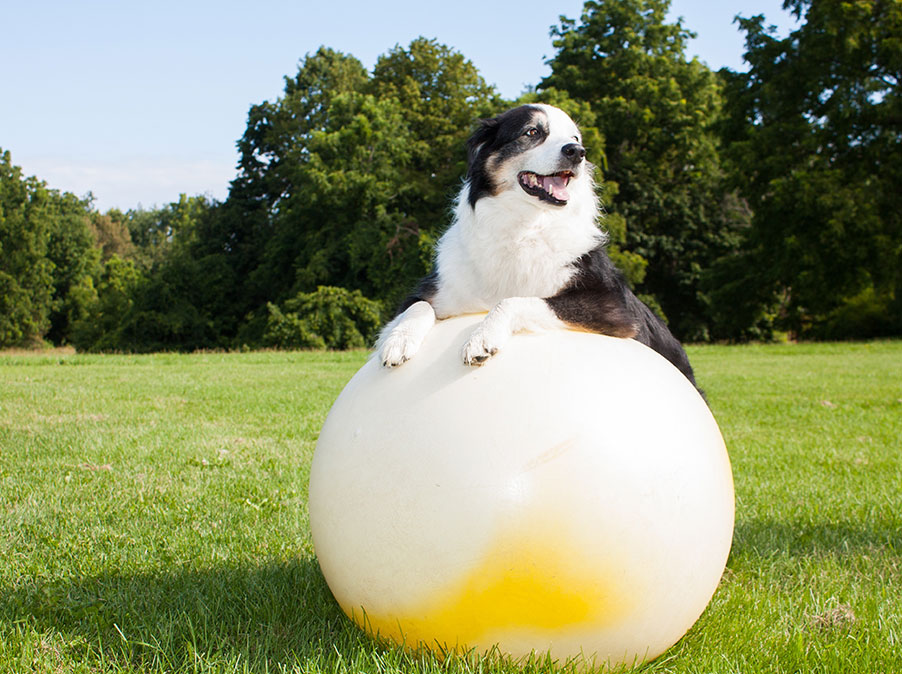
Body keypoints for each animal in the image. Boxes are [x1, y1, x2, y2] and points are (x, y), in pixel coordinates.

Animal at [374, 104, 700, 388]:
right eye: (532, 132)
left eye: (575, 139)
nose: (577, 153)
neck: (525, 225)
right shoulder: (437, 289)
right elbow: (417, 306)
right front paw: (398, 340)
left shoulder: (613, 307)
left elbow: (516, 300)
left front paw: (483, 337)